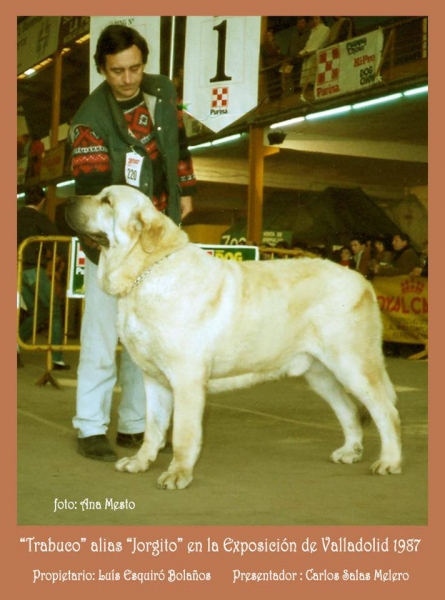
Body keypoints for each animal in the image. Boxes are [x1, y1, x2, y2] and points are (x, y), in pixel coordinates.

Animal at [67, 184, 402, 488]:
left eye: (107, 201)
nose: (67, 200)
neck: (147, 272)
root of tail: (363, 280)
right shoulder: (154, 379)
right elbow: (154, 427)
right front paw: (140, 461)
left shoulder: (186, 378)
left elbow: (183, 433)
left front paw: (178, 473)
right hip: (319, 373)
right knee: (349, 410)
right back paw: (350, 451)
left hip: (353, 364)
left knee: (386, 412)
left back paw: (390, 461)